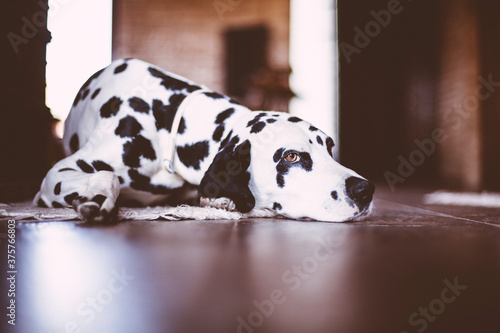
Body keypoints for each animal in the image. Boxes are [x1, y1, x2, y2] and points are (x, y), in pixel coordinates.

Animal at [33, 58, 374, 223]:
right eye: (291, 157)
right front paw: (96, 198)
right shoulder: (55, 175)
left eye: (330, 148)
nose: (365, 190)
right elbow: (106, 175)